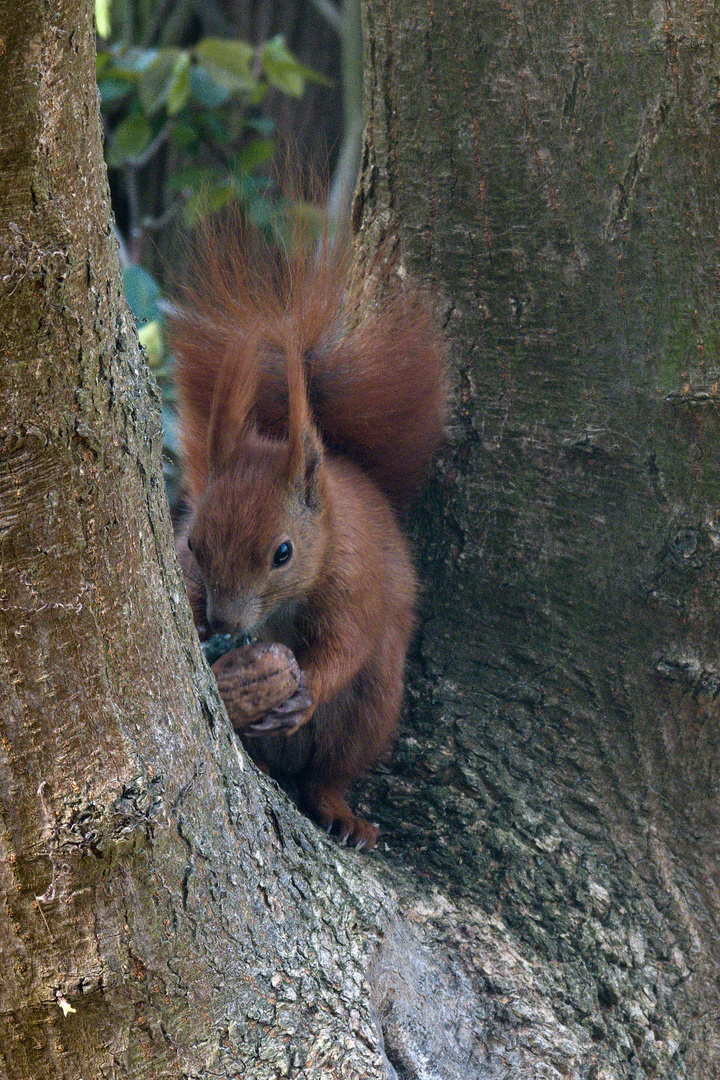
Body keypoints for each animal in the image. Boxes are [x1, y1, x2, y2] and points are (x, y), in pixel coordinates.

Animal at [171, 214, 446, 846]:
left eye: (283, 552)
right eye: (193, 544)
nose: (225, 623)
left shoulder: (356, 586)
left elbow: (346, 646)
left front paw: (306, 691)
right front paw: (207, 637)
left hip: (370, 712)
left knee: (328, 774)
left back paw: (341, 814)